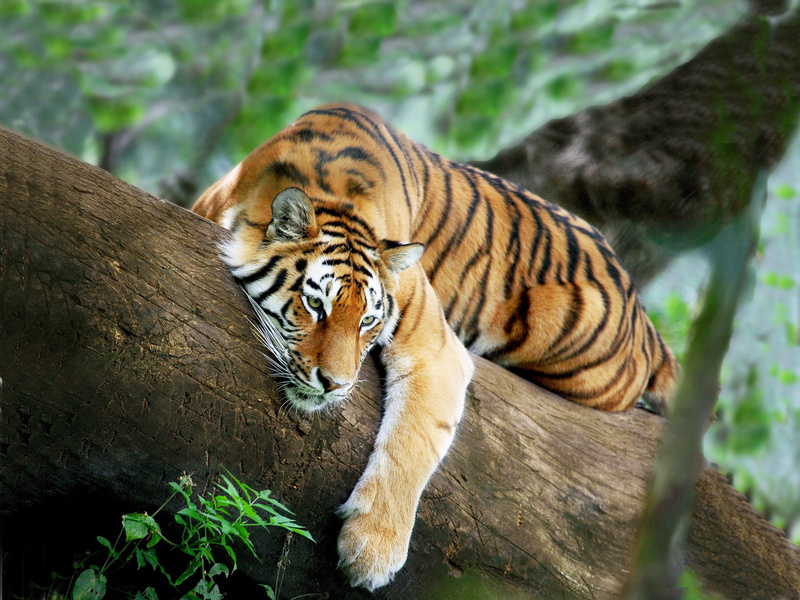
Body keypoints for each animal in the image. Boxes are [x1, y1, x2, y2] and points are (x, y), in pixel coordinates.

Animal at [192, 104, 679, 591]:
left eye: (367, 321)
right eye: (315, 305)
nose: (335, 385)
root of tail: (641, 310)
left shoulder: (436, 347)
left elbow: (413, 441)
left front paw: (372, 551)